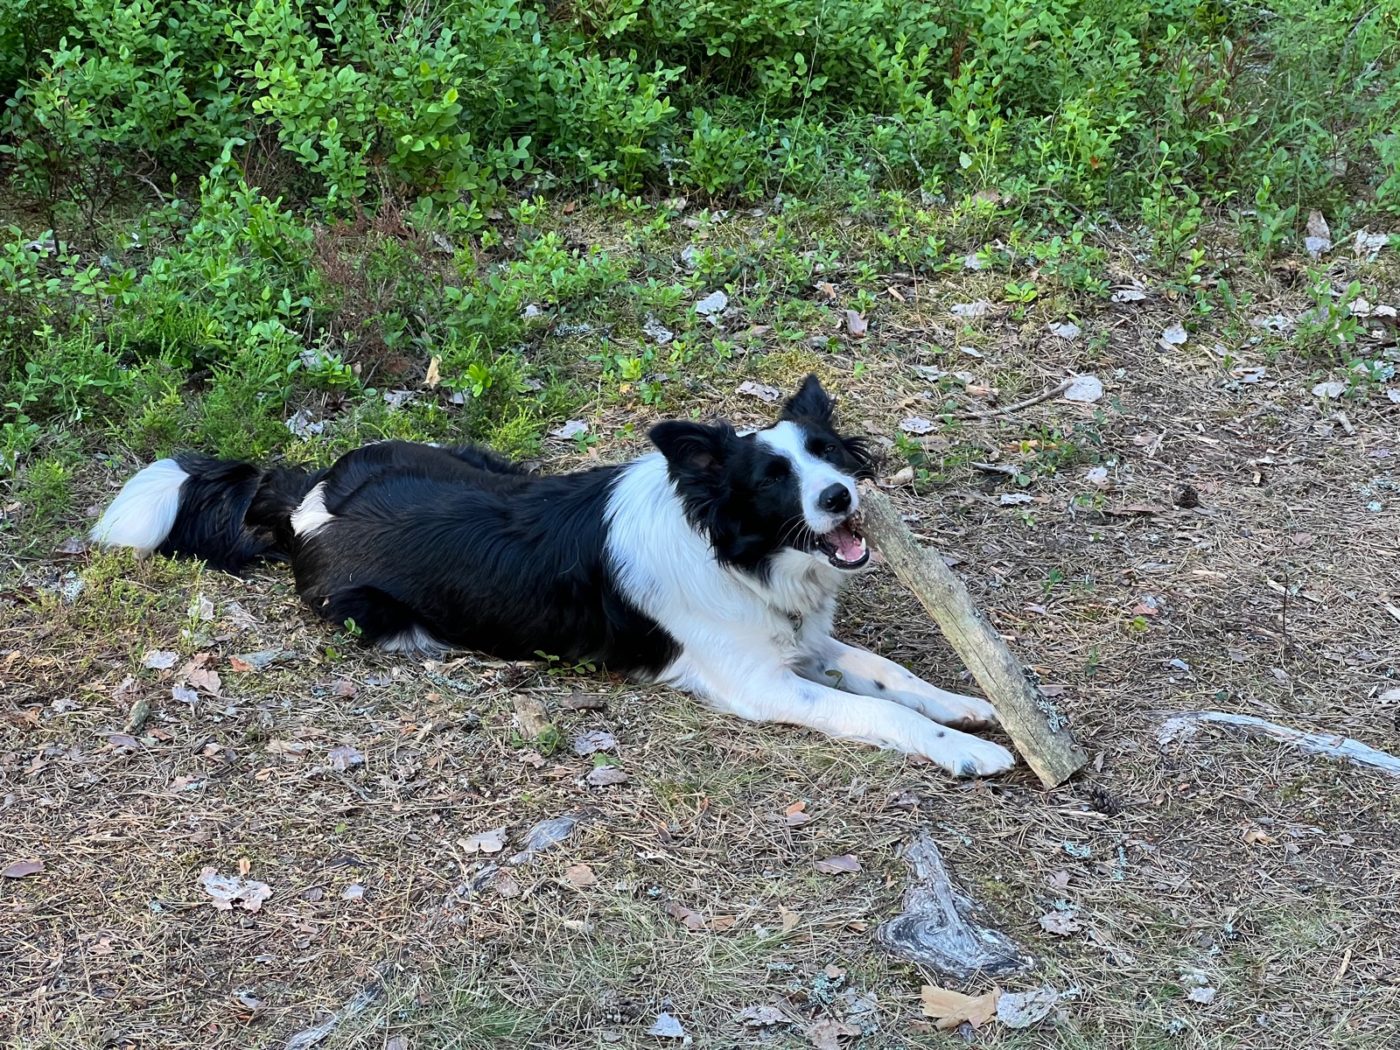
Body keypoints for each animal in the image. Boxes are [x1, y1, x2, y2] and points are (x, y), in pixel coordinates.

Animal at [95, 378, 1019, 784]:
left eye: (825, 455)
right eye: (771, 480)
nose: (839, 498)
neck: (730, 550)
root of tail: (307, 496)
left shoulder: (802, 641)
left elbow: (889, 675)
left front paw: (969, 705)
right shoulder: (764, 684)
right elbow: (876, 712)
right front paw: (970, 749)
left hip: (472, 456)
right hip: (380, 619)